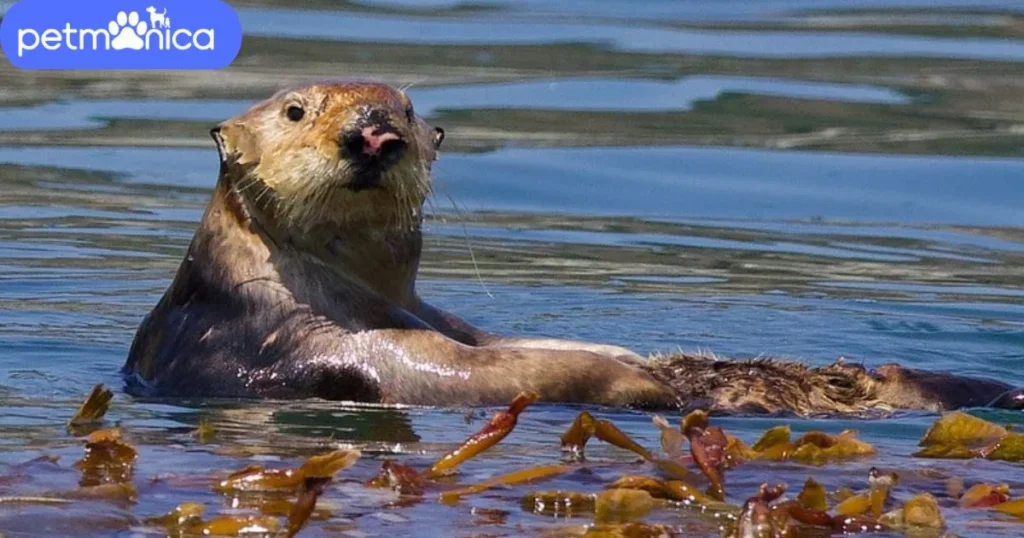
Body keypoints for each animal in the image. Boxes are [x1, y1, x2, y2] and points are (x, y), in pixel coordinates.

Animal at [123, 81, 1019, 416]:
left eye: (405, 107)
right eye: (296, 110)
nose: (374, 131)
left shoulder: (436, 315)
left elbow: (500, 344)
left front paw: (646, 361)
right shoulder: (284, 334)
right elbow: (447, 369)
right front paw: (641, 378)